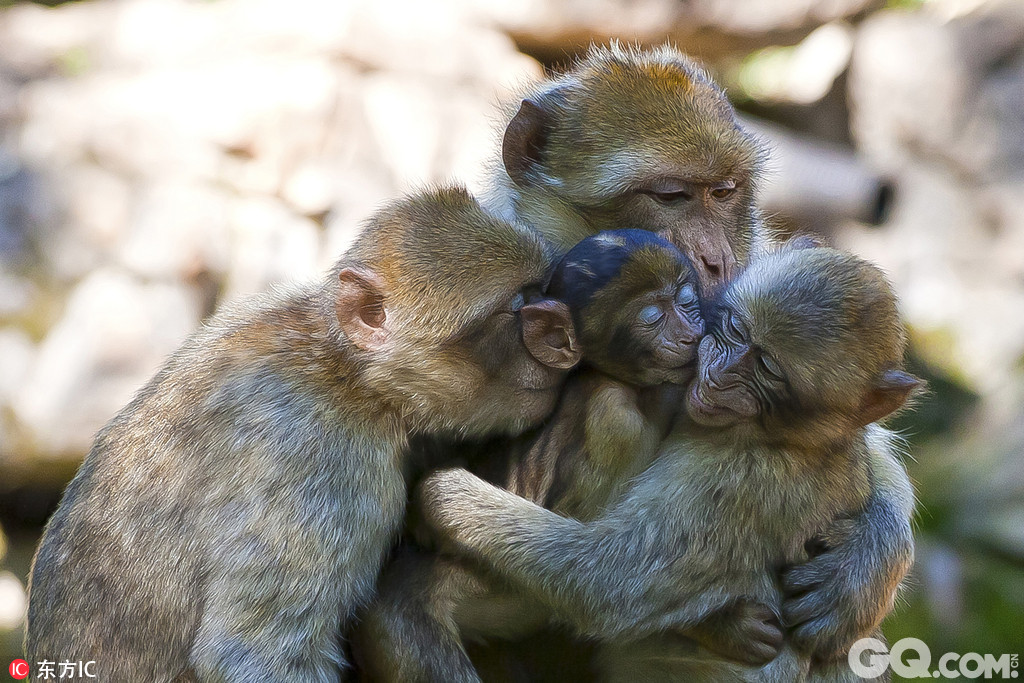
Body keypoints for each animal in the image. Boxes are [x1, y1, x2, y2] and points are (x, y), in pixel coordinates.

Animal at [25, 187, 585, 683]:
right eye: (518, 307)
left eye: (543, 292)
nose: (561, 342)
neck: (354, 377)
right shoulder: (319, 458)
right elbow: (252, 653)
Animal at [411, 242, 925, 679]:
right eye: (736, 331)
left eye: (768, 369)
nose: (717, 373)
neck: (791, 440)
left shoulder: (739, 483)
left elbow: (607, 585)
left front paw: (442, 492)